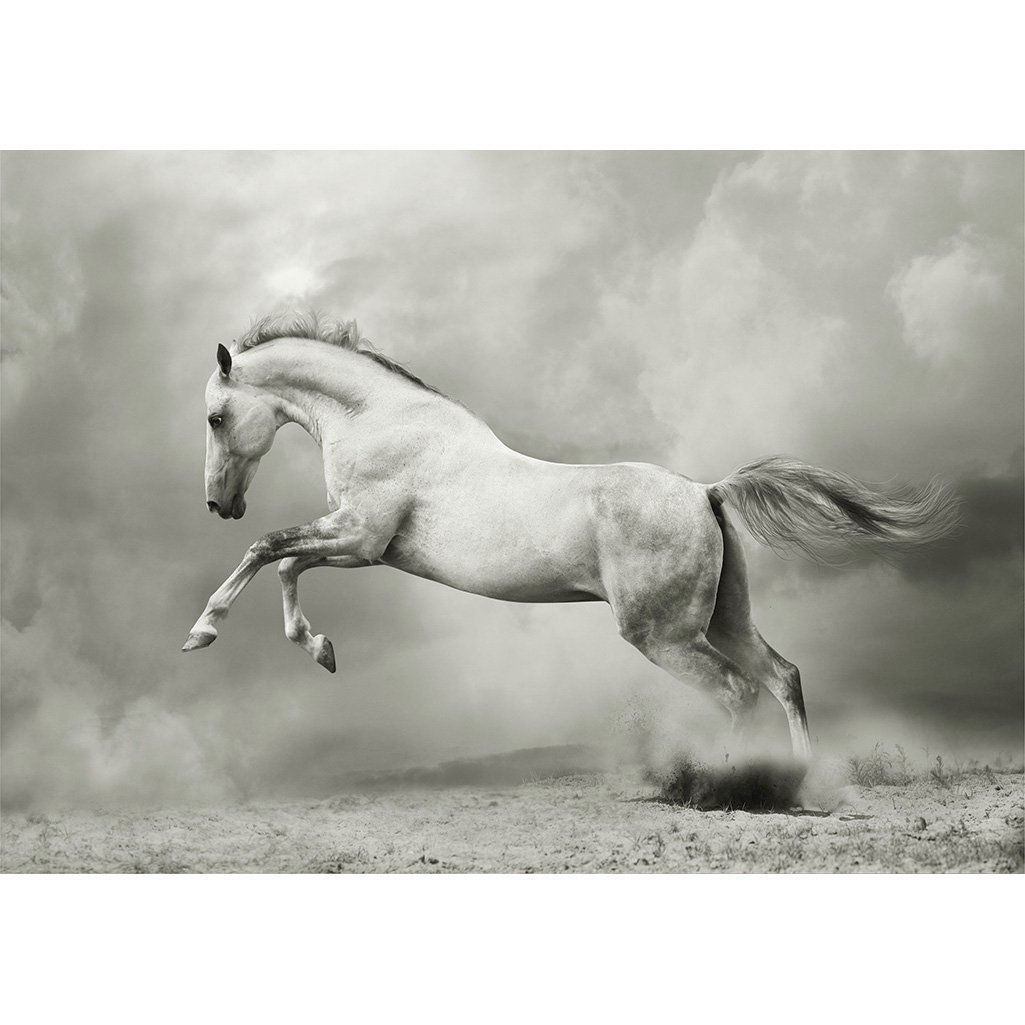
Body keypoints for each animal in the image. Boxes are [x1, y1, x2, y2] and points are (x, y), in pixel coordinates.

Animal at [183, 312, 959, 760]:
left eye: (217, 417)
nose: (219, 504)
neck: (380, 420)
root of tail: (705, 493)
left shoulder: (360, 539)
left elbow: (269, 551)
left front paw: (203, 632)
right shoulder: (355, 545)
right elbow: (285, 564)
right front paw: (321, 650)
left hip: (663, 634)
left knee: (738, 691)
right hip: (722, 617)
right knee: (782, 677)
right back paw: (798, 783)